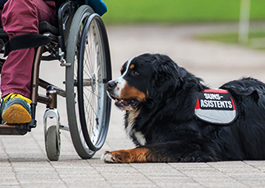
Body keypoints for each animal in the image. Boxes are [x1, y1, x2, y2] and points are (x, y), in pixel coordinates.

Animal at [100, 53, 264, 163]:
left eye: (135, 72)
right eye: (122, 71)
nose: (108, 84)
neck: (165, 103)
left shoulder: (199, 144)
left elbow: (147, 148)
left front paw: (116, 153)